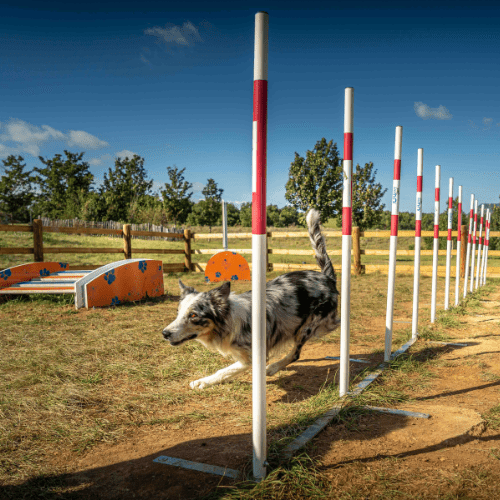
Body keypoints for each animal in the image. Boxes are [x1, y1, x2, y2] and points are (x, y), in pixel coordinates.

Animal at [162, 209, 338, 388]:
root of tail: (327, 278)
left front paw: (202, 382)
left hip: (306, 328)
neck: (229, 321)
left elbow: (224, 371)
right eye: (178, 313)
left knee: (297, 353)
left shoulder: (251, 356)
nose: (165, 333)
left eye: (193, 315)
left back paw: (273, 368)